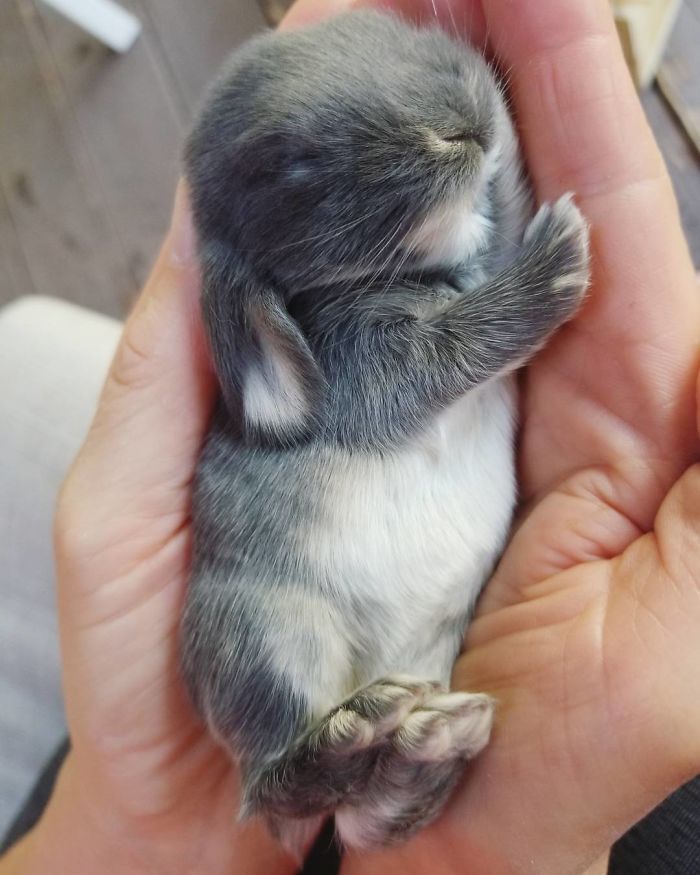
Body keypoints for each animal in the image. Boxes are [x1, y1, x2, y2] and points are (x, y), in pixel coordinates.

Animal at [180, 8, 590, 857]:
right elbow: (455, 342)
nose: (461, 120)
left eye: (378, 28)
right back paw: (358, 732)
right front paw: (560, 259)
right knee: (277, 782)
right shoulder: (369, 365)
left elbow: (505, 200)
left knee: (365, 818)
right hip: (270, 639)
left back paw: (428, 742)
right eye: (296, 172)